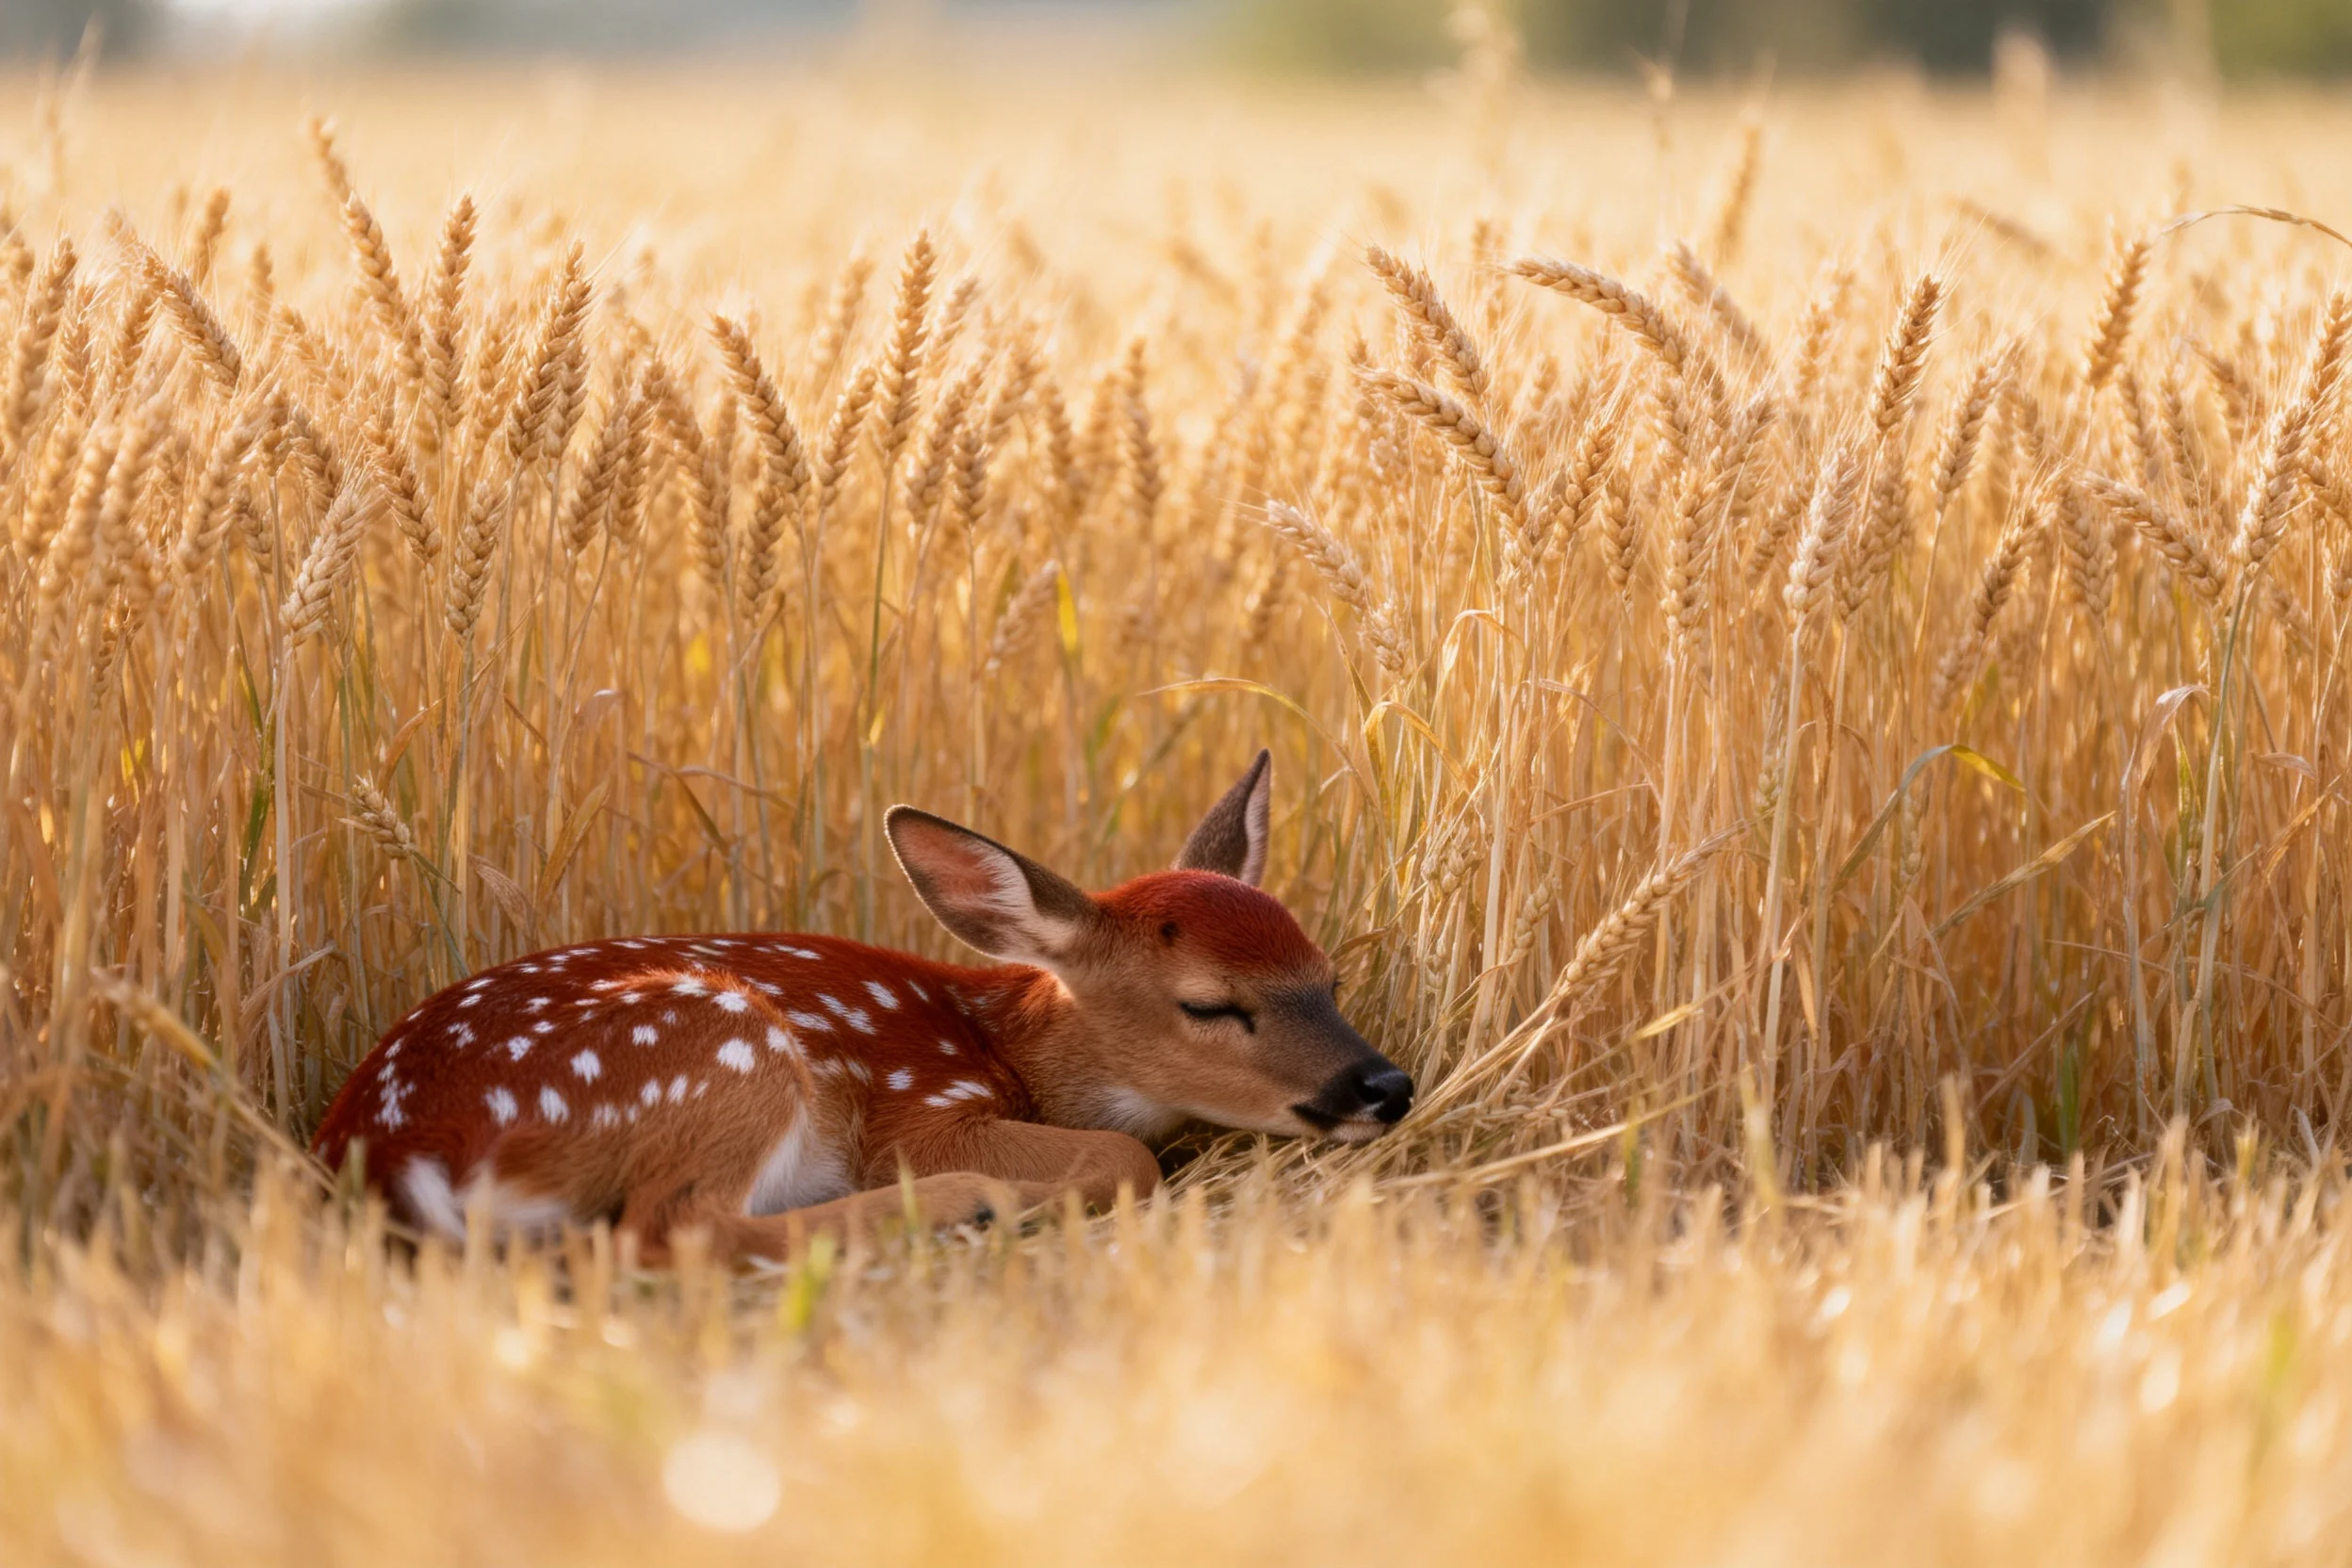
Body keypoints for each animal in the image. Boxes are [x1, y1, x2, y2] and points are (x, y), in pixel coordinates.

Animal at [311, 753, 1413, 1264]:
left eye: (1328, 975)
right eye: (1210, 1004)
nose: (1386, 1083)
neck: (1010, 1047)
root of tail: (391, 1149)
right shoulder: (921, 1110)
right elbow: (1129, 1156)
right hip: (720, 1046)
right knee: (676, 1230)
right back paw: (960, 1204)